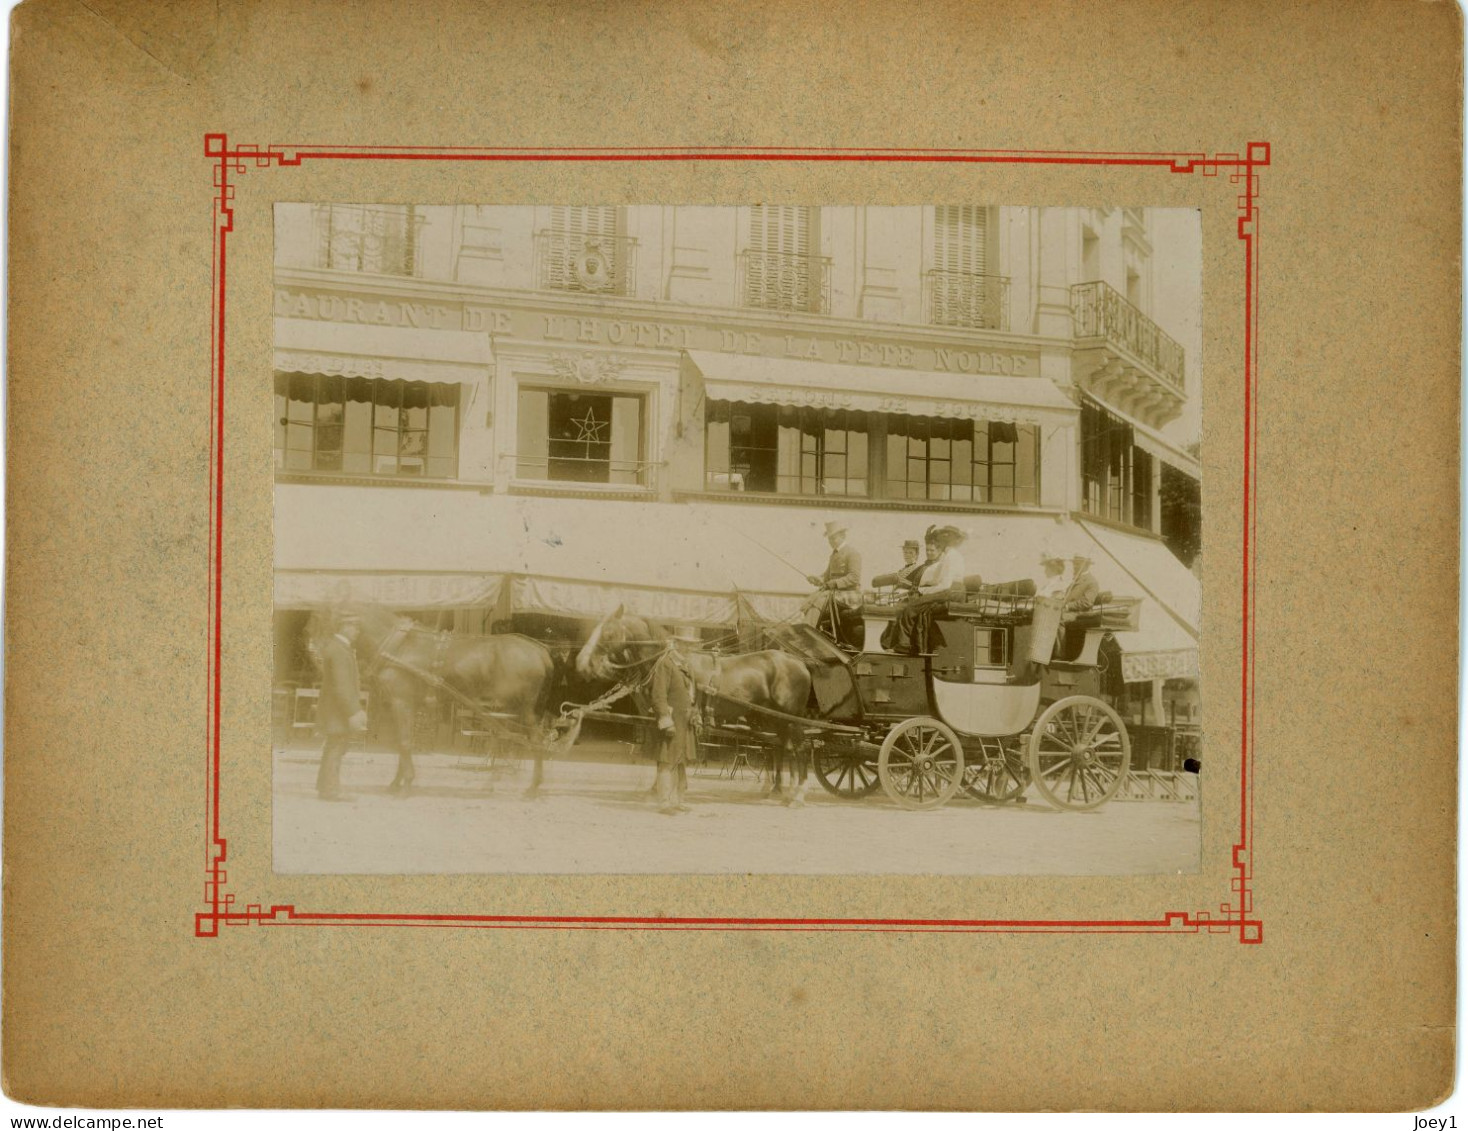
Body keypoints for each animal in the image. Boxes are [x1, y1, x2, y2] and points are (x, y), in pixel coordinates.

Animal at [306, 605, 569, 799]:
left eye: (322, 618)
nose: (314, 654)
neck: (400, 646)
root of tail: (540, 650)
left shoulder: (401, 701)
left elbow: (403, 742)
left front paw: (406, 784)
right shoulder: (408, 705)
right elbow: (405, 742)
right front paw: (398, 782)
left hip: (523, 711)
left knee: (533, 743)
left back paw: (530, 788)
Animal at [578, 608, 822, 799]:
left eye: (608, 631)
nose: (583, 663)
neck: (669, 663)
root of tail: (799, 661)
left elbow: (671, 752)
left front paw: (667, 788)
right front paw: (661, 788)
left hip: (791, 717)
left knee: (800, 748)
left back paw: (798, 794)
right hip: (774, 718)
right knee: (782, 747)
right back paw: (780, 789)